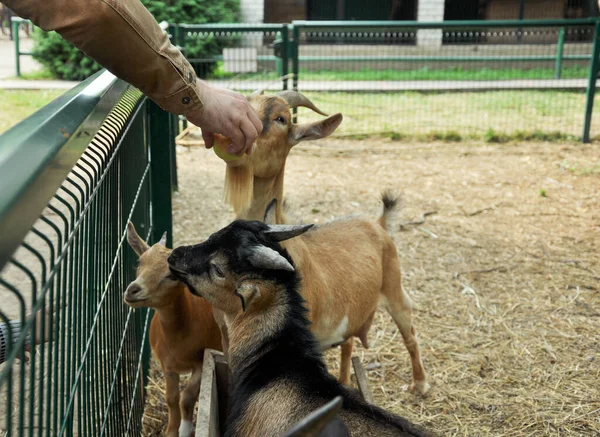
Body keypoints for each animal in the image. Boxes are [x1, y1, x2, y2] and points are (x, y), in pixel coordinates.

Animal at [124, 223, 223, 436]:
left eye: (171, 275)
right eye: (140, 261)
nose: (133, 290)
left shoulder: (201, 362)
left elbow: (187, 397)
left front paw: (185, 429)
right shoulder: (167, 365)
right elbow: (171, 398)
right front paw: (171, 430)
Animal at [213, 91, 428, 392]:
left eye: (281, 118)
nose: (228, 137)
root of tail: (378, 223)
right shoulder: (225, 336)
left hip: (394, 287)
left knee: (409, 330)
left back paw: (420, 384)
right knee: (349, 343)